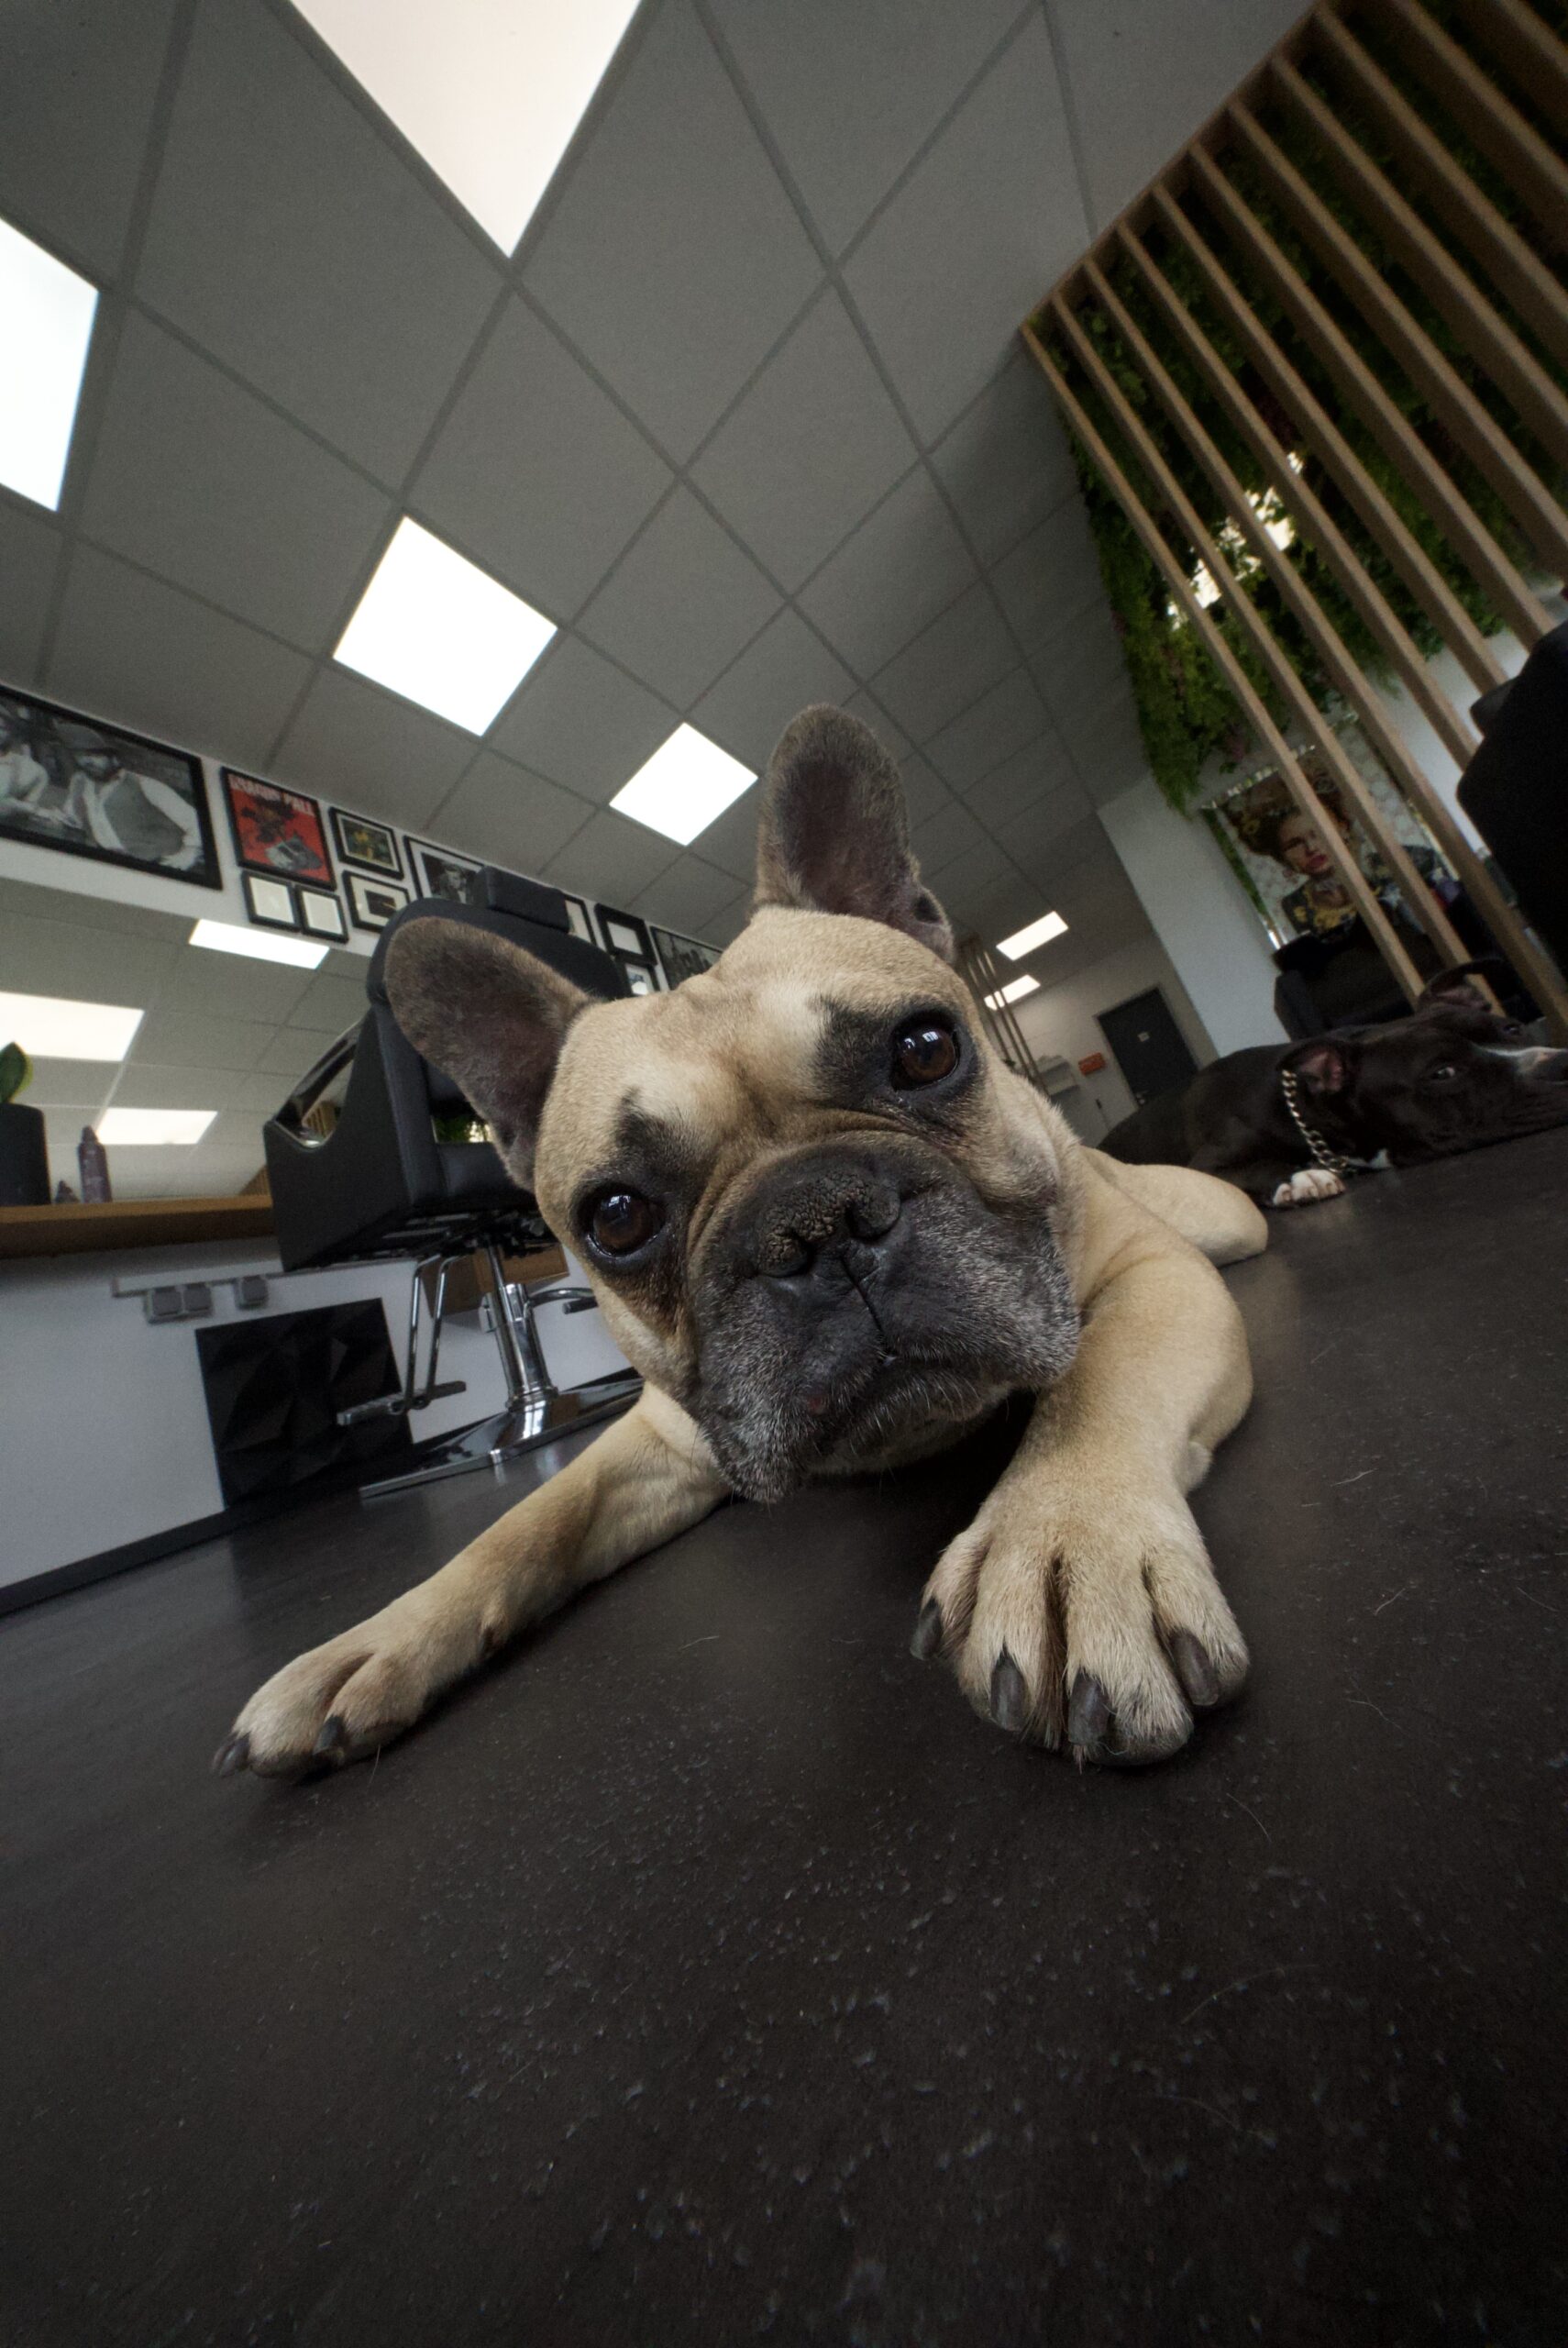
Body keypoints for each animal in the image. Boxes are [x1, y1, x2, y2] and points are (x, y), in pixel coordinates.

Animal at [215, 708, 1268, 1781]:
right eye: (617, 1216)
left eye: (926, 1049)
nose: (818, 1221)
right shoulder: (656, 1440)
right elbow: (528, 1521)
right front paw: (378, 1639)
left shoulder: (1153, 1280)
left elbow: (1097, 1383)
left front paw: (1065, 1541)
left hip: (1212, 1219)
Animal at [1102, 967, 1568, 1208]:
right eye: (1442, 1073)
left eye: (1512, 1028)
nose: (1561, 1062)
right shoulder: (1205, 1168)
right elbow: (1257, 1167)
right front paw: (1300, 1176)